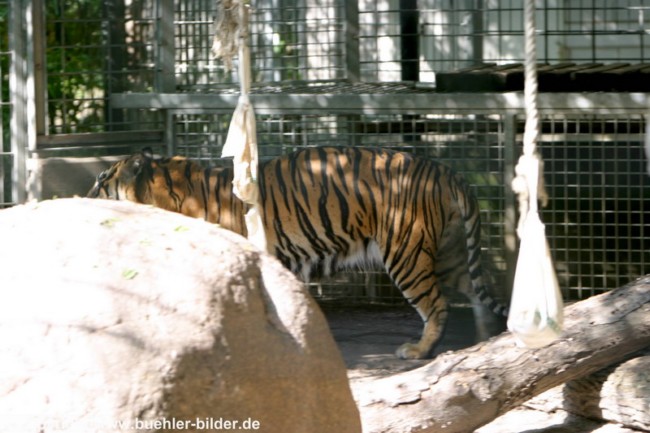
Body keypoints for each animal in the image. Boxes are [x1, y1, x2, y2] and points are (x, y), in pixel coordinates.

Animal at [87, 146, 507, 359]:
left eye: (101, 179)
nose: (85, 195)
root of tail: (446, 172)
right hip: (446, 254)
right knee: (476, 291)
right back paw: (485, 338)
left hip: (406, 252)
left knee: (436, 305)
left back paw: (419, 349)